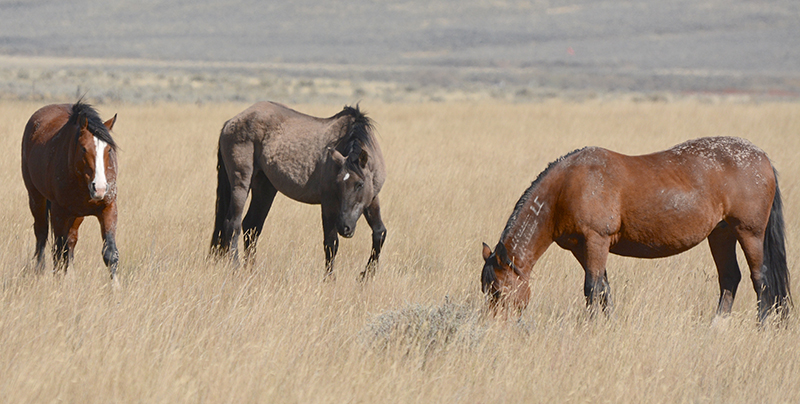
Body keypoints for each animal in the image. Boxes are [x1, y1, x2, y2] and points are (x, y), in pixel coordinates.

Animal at [21, 101, 119, 280]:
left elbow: (110, 252)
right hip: (36, 198)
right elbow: (58, 251)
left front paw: (115, 285)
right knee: (42, 233)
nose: (100, 188)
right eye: (83, 148)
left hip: (76, 215)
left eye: (108, 149)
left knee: (70, 241)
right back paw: (39, 270)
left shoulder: (108, 208)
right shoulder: (59, 212)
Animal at [211, 102, 386, 280]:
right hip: (241, 183)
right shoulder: (329, 203)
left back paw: (251, 270)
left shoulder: (372, 199)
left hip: (265, 187)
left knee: (251, 226)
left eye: (360, 184)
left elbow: (379, 233)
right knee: (232, 223)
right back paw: (235, 267)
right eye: (337, 184)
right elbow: (331, 243)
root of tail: (230, 122)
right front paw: (329, 280)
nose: (345, 227)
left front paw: (365, 276)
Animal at [484, 137, 792, 322]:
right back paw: (717, 327)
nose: (496, 327)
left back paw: (762, 325)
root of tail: (762, 157)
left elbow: (591, 288)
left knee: (761, 279)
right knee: (730, 278)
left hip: (749, 233)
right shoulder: (582, 248)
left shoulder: (596, 240)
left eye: (497, 291)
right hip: (721, 234)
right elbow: (603, 289)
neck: (568, 186)